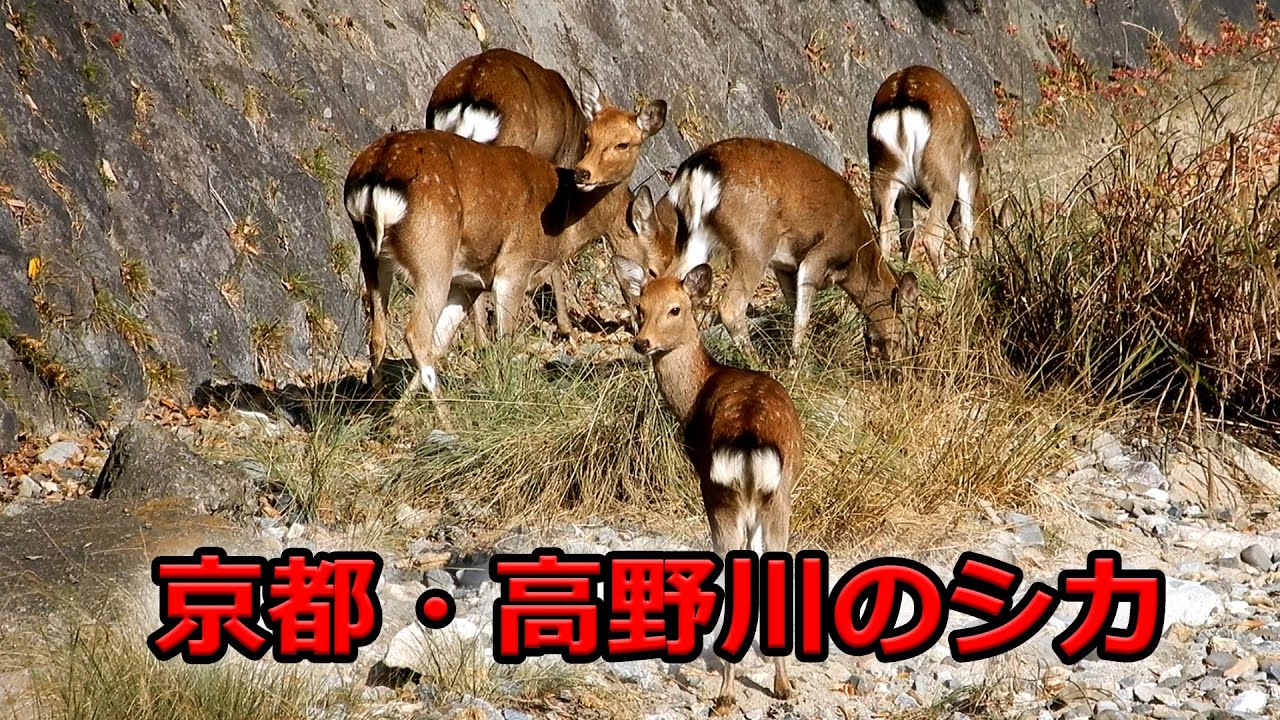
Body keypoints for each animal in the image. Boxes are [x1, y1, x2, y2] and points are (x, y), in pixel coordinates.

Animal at [614, 259, 799, 714]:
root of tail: (749, 440)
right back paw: (780, 685)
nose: (642, 343)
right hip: (775, 496)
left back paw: (728, 693)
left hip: (721, 496)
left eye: (676, 309)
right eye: (640, 306)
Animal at [661, 137, 918, 363]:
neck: (852, 259)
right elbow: (802, 316)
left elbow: (794, 307)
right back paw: (756, 362)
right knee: (731, 306)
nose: (906, 362)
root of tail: (697, 169)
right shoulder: (818, 256)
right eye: (910, 330)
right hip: (753, 241)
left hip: (695, 238)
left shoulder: (784, 266)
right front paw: (799, 364)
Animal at [867, 65, 985, 279]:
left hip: (882, 172)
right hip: (942, 173)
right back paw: (944, 282)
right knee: (932, 236)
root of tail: (902, 100)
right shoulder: (969, 171)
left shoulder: (905, 194)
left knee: (886, 232)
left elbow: (907, 234)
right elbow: (967, 226)